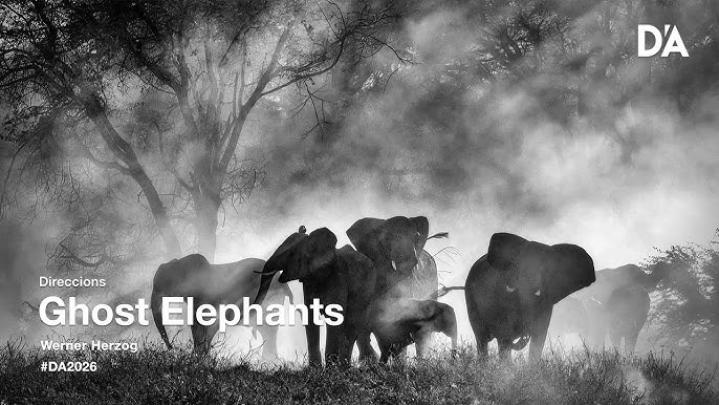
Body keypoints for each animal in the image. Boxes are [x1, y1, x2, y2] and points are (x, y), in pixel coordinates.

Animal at [151, 253, 292, 356]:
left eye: (164, 285)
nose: (173, 348)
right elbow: (197, 324)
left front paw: (199, 358)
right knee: (268, 331)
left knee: (269, 330)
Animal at [253, 226, 377, 366]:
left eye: (291, 254)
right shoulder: (309, 280)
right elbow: (310, 317)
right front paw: (315, 368)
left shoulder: (338, 276)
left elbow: (334, 317)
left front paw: (331, 368)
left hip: (367, 291)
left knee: (352, 326)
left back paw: (344, 367)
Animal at [465, 232, 596, 361]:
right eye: (518, 266)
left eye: (545, 269)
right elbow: (505, 335)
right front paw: (507, 367)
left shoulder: (546, 302)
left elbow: (539, 338)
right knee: (482, 339)